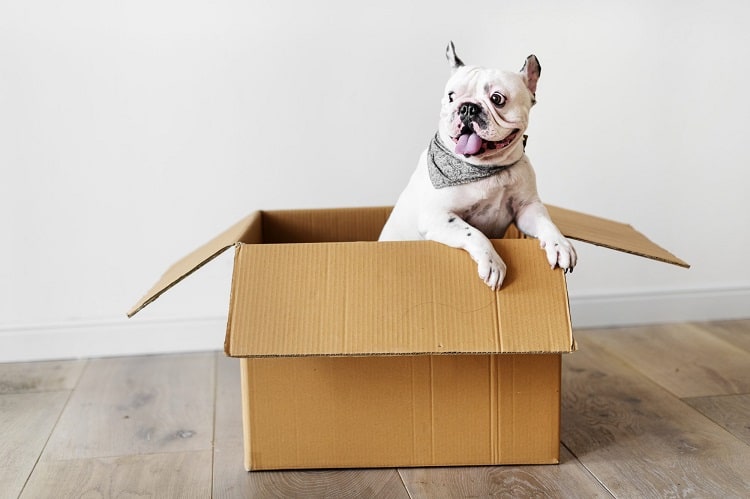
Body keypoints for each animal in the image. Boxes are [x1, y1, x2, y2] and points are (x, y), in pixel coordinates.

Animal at [378, 44, 580, 292]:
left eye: (497, 98)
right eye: (451, 96)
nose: (467, 108)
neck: (488, 167)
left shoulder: (527, 208)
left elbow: (545, 221)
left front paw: (560, 243)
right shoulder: (438, 216)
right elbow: (473, 232)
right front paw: (493, 262)